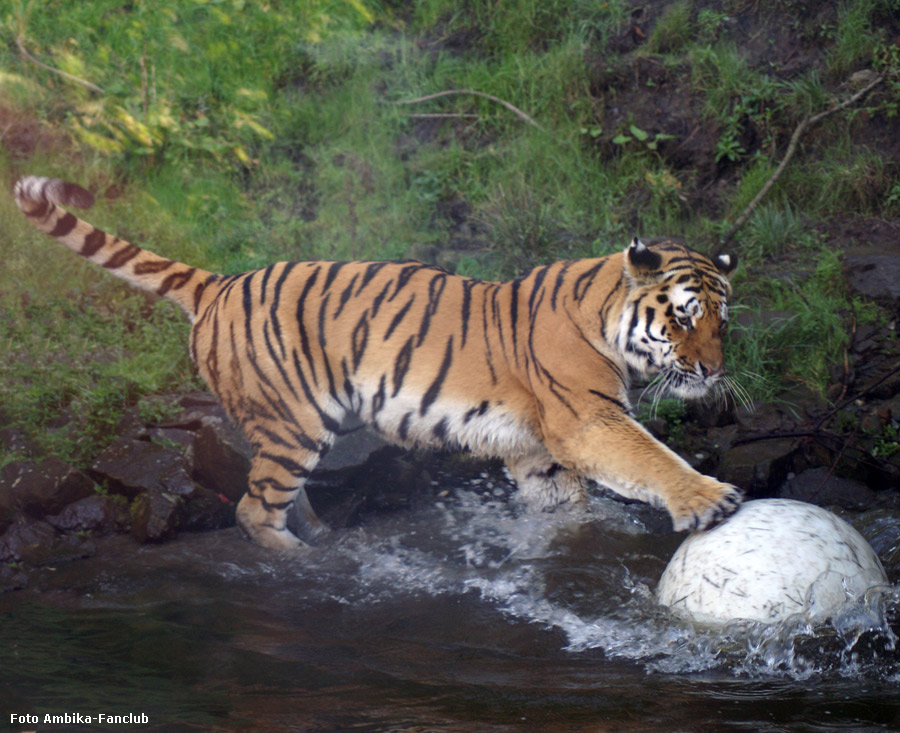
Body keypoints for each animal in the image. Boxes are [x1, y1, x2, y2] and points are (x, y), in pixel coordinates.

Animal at [14, 176, 740, 548]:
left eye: (721, 319)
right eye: (682, 316)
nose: (710, 371)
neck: (606, 318)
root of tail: (218, 283)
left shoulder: (539, 450)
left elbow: (570, 506)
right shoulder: (588, 420)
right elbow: (651, 458)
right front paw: (710, 499)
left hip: (296, 429)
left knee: (275, 494)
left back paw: (318, 534)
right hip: (294, 423)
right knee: (252, 510)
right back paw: (301, 564)